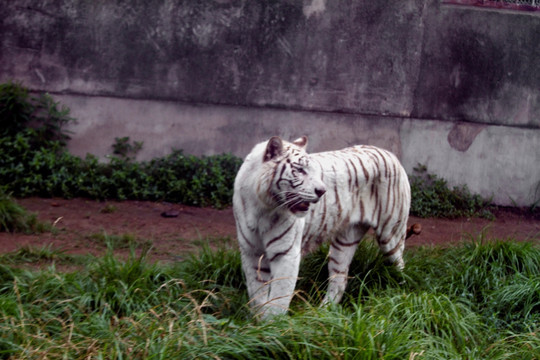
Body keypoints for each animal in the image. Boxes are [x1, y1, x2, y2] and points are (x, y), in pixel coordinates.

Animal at [234, 136, 420, 320]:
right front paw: (259, 321)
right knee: (340, 279)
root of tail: (390, 154)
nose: (322, 191)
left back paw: (399, 295)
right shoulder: (251, 253)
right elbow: (257, 294)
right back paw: (324, 311)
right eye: (300, 170)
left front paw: (274, 324)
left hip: (390, 234)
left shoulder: (285, 254)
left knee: (400, 265)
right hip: (344, 242)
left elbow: (279, 297)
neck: (263, 208)